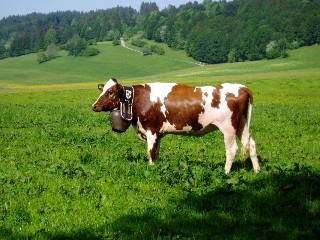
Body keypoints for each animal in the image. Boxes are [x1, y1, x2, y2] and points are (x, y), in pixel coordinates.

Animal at [90, 79, 260, 174]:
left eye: (110, 92)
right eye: (103, 89)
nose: (94, 106)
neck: (139, 99)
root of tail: (242, 87)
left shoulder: (151, 129)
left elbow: (150, 152)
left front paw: (151, 169)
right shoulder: (158, 132)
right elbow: (156, 152)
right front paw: (156, 167)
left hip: (228, 127)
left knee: (232, 149)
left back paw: (225, 173)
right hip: (241, 123)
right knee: (251, 144)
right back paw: (257, 171)